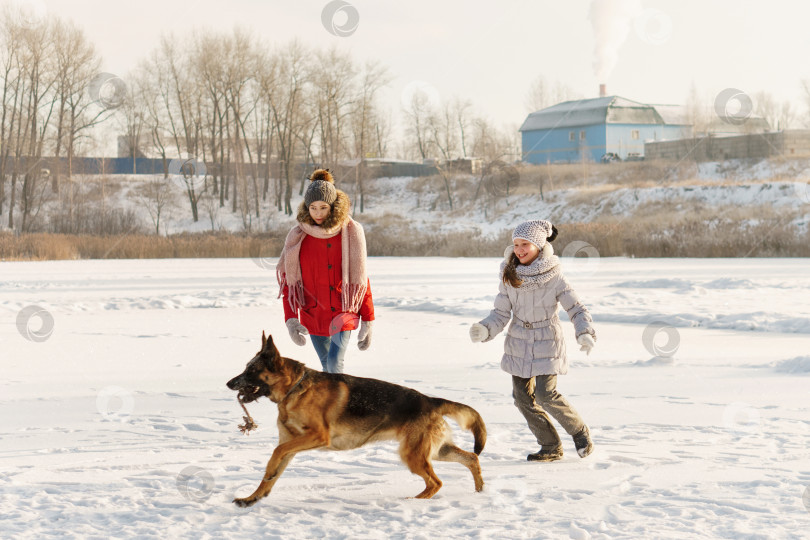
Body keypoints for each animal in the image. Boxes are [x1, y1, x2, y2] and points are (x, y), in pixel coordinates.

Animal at [224, 334, 482, 506]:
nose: (228, 384)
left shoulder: (316, 436)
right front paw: (253, 498)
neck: (294, 389)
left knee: (436, 482)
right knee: (471, 458)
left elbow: (275, 454)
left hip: (413, 456)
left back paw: (413, 500)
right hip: (435, 451)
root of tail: (430, 400)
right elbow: (272, 470)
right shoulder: (292, 444)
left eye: (251, 371)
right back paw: (480, 489)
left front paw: (263, 483)